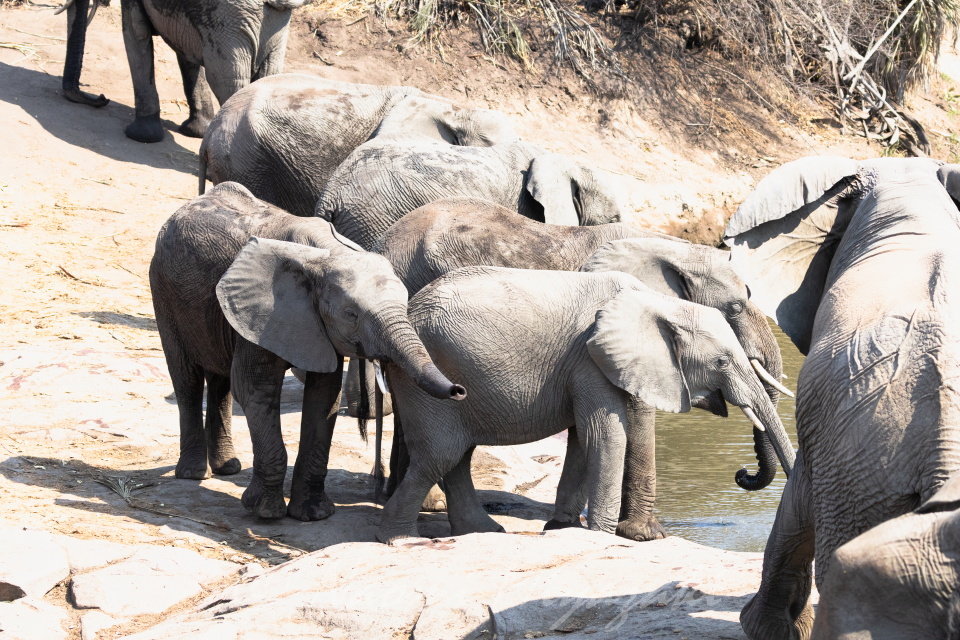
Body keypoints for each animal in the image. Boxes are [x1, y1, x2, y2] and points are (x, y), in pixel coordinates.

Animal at [61, 0, 303, 143]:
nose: (101, 98)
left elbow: (135, 32)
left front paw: (140, 136)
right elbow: (185, 53)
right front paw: (195, 131)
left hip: (226, 19)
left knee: (227, 82)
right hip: (271, 22)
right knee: (267, 77)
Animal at [149, 181, 465, 520]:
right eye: (351, 314)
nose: (459, 390)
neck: (324, 255)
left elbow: (323, 396)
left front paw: (313, 514)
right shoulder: (260, 312)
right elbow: (256, 389)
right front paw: (266, 512)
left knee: (220, 382)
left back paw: (228, 468)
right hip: (163, 288)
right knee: (187, 377)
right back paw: (194, 474)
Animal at [373, 197, 790, 540]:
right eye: (735, 308)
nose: (742, 474)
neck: (671, 248)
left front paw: (566, 526)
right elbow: (629, 423)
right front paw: (646, 535)